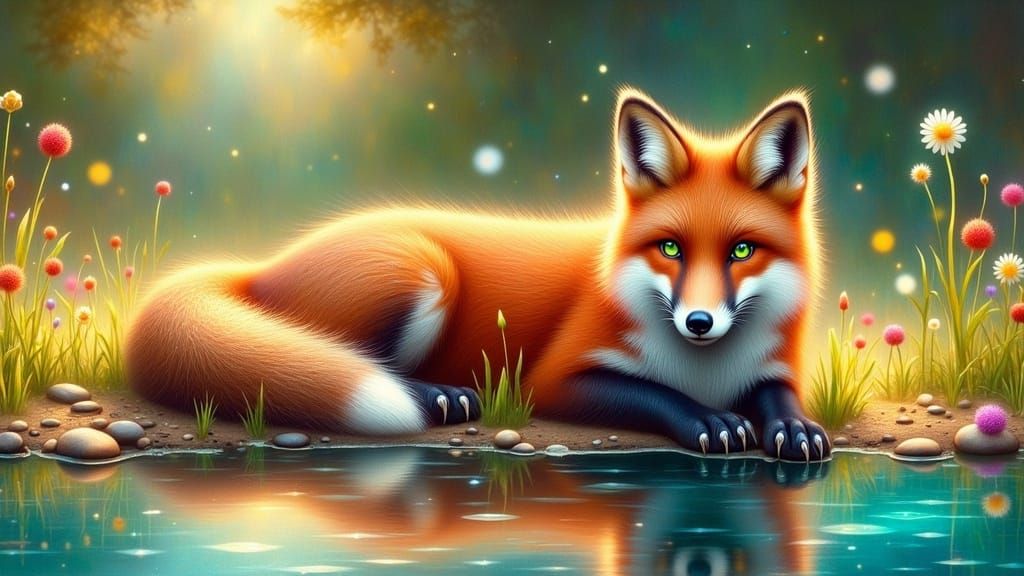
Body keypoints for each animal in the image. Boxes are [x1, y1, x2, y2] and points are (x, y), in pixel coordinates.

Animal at [125, 87, 830, 461]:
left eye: (742, 251)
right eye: (671, 249)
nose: (700, 322)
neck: (706, 369)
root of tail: (267, 263)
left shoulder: (770, 368)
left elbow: (778, 396)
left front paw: (793, 428)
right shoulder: (554, 378)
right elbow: (655, 394)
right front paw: (710, 422)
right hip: (424, 272)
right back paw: (436, 396)